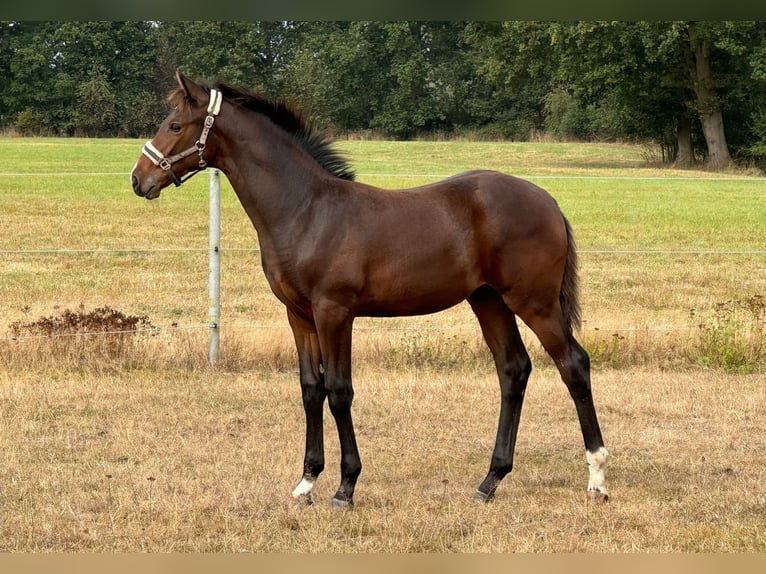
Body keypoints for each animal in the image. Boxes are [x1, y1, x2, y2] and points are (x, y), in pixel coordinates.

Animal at [132, 71, 612, 508]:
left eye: (175, 125)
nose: (139, 180)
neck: (306, 210)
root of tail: (547, 200)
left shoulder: (334, 312)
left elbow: (339, 391)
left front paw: (345, 487)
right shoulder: (299, 315)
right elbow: (311, 389)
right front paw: (306, 483)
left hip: (534, 303)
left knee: (573, 365)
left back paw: (597, 478)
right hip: (488, 301)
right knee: (513, 370)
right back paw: (489, 481)